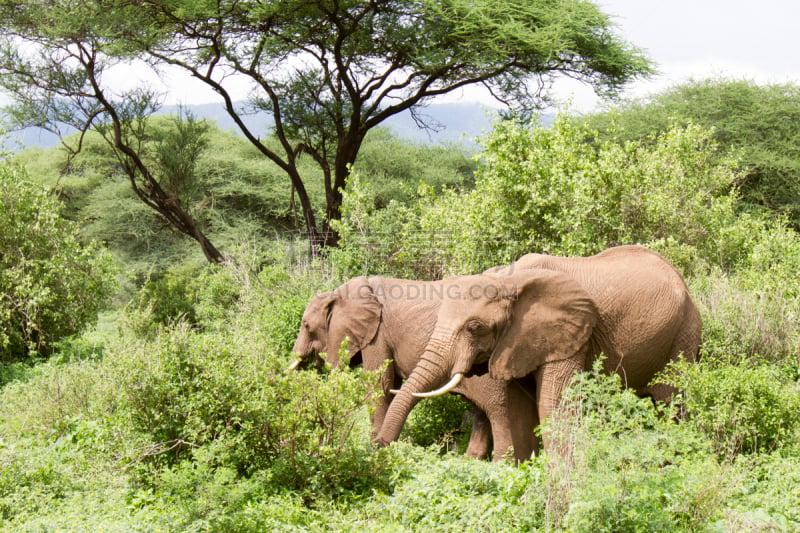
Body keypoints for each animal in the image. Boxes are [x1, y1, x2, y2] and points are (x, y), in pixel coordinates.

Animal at [290, 274, 536, 462]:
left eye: (306, 325)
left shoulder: (377, 336)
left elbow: (379, 385)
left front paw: (376, 448)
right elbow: (389, 386)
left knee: (496, 409)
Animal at [376, 245, 700, 448]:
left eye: (475, 327)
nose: (379, 446)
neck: (509, 280)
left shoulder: (568, 336)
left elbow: (553, 406)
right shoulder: (515, 344)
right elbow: (518, 410)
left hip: (683, 335)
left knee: (671, 403)